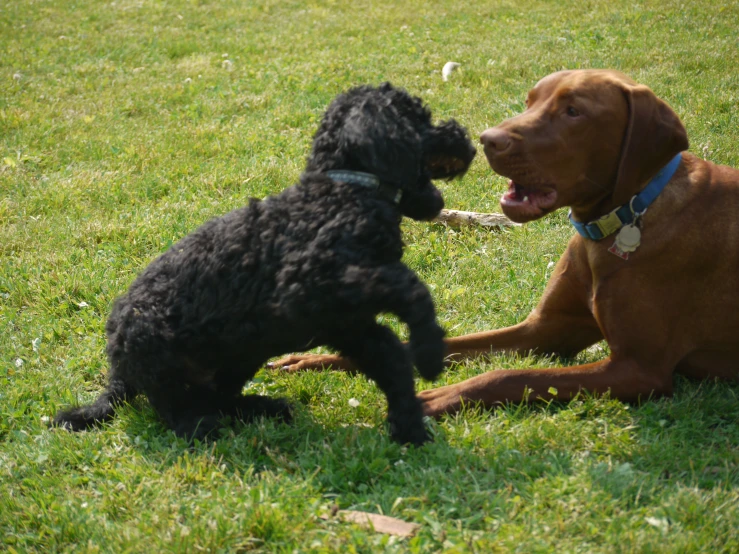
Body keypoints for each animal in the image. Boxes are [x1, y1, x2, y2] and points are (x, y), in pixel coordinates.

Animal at [55, 83, 476, 444]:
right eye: (421, 119)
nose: (469, 144)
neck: (342, 191)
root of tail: (117, 370)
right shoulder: (312, 288)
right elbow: (409, 287)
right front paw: (430, 353)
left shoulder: (348, 324)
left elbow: (391, 359)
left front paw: (410, 428)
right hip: (164, 355)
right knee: (176, 410)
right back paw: (205, 426)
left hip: (241, 355)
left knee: (218, 397)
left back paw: (263, 409)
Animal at [274, 69, 739, 414]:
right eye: (530, 100)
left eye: (573, 111)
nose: (486, 140)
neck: (620, 220)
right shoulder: (546, 331)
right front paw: (316, 359)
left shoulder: (639, 369)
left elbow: (512, 375)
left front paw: (435, 397)